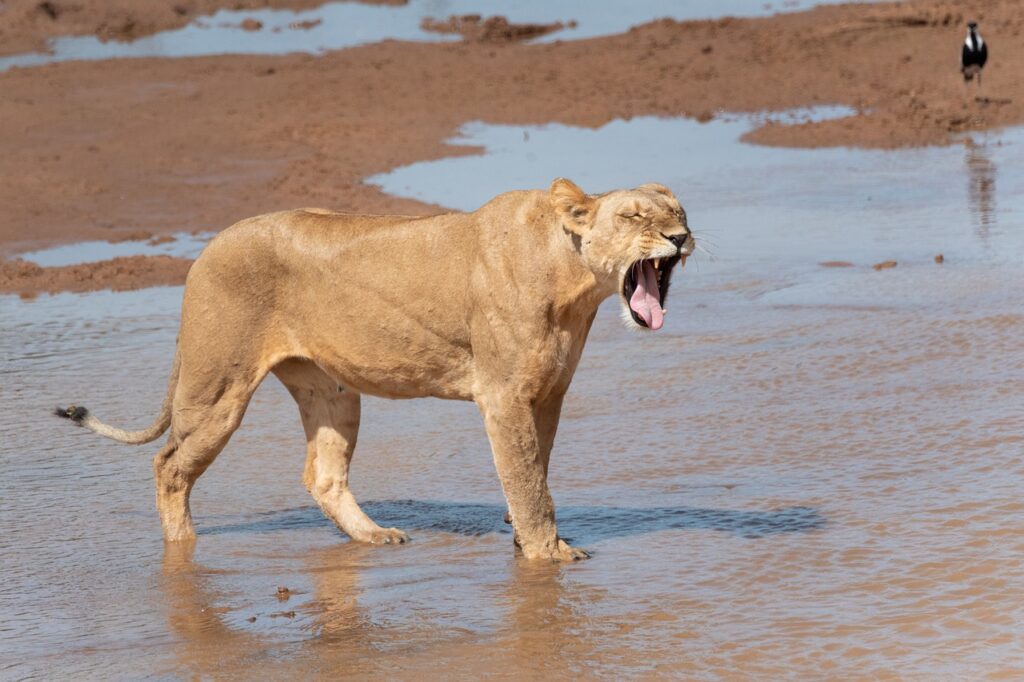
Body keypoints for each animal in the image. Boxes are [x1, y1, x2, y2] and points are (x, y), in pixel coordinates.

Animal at [58, 178, 696, 561]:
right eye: (635, 216)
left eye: (679, 212)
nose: (681, 237)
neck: (574, 282)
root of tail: (205, 251)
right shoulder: (504, 397)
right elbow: (526, 480)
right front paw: (547, 557)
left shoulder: (548, 395)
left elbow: (536, 472)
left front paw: (531, 543)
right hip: (217, 385)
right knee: (168, 464)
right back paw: (183, 552)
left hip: (332, 391)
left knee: (321, 475)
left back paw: (373, 535)